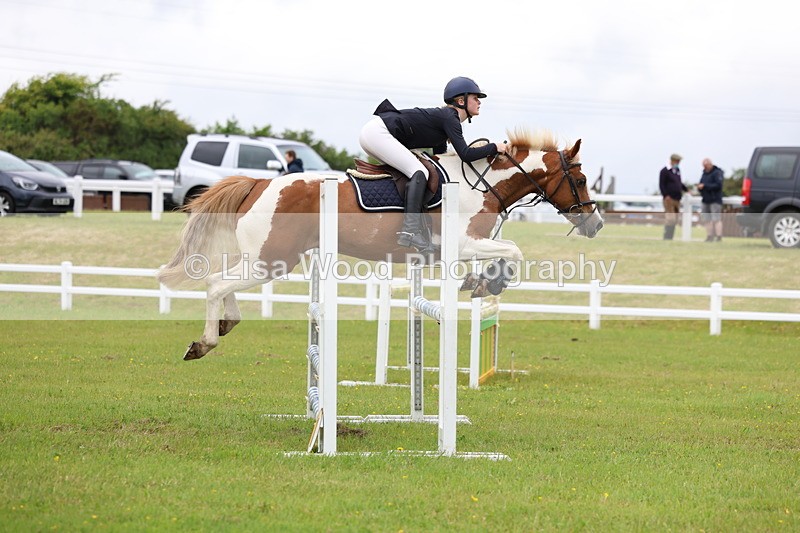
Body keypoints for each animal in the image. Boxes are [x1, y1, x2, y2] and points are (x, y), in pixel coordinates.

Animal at [158, 129, 604, 360]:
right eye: (581, 180)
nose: (595, 222)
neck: (482, 184)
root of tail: (259, 183)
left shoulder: (470, 245)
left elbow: (504, 254)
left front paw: (480, 282)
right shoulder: (462, 244)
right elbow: (513, 251)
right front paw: (489, 283)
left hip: (264, 258)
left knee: (222, 281)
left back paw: (224, 324)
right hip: (272, 260)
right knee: (216, 283)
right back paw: (205, 342)